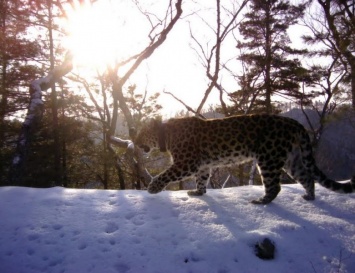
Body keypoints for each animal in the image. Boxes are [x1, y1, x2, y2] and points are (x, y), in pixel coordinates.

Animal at [134, 113, 355, 203]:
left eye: (141, 133)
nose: (134, 141)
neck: (166, 135)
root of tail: (294, 123)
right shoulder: (203, 165)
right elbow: (202, 179)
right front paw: (198, 192)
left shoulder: (187, 163)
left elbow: (166, 174)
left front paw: (153, 188)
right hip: (292, 159)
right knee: (307, 177)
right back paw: (309, 196)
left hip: (269, 157)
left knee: (275, 186)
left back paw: (261, 201)